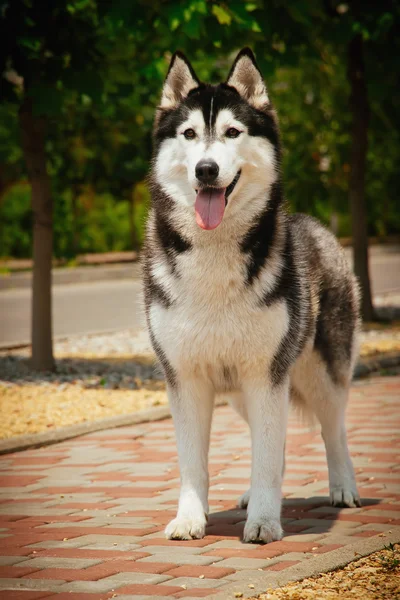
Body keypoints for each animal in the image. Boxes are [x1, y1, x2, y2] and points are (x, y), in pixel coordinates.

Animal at [145, 47, 362, 544]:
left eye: (232, 132)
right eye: (189, 134)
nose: (206, 169)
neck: (214, 255)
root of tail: (318, 225)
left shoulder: (266, 373)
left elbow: (266, 455)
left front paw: (264, 520)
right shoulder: (186, 378)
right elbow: (194, 463)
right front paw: (191, 517)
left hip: (319, 373)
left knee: (334, 430)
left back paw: (343, 487)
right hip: (246, 390)